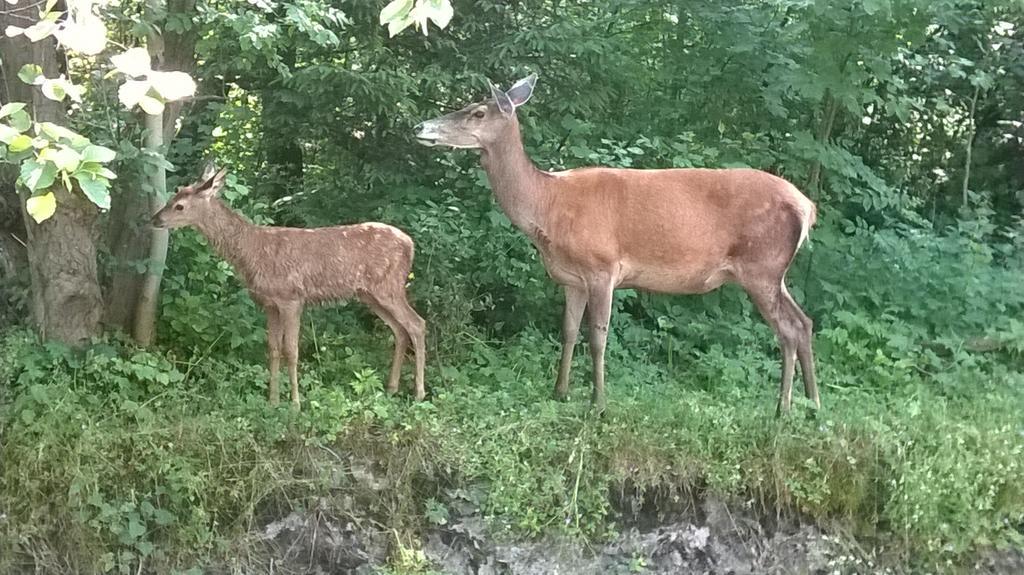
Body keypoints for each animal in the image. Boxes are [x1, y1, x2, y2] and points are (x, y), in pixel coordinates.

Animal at [149, 162, 425, 407]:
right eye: (174, 196)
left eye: (180, 206)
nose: (154, 219)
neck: (252, 252)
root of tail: (410, 244)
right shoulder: (269, 303)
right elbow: (273, 349)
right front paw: (273, 401)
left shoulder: (292, 298)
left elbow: (291, 350)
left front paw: (295, 403)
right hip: (369, 293)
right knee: (400, 330)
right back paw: (392, 388)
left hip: (389, 286)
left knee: (417, 324)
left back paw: (419, 393)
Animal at [411, 73, 819, 411]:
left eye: (477, 112)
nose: (419, 126)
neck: (548, 206)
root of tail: (806, 206)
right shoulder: (571, 279)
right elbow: (568, 332)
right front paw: (560, 392)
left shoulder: (603, 267)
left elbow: (598, 337)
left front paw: (598, 404)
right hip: (774, 272)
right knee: (805, 321)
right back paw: (812, 404)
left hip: (760, 266)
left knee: (787, 329)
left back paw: (783, 408)